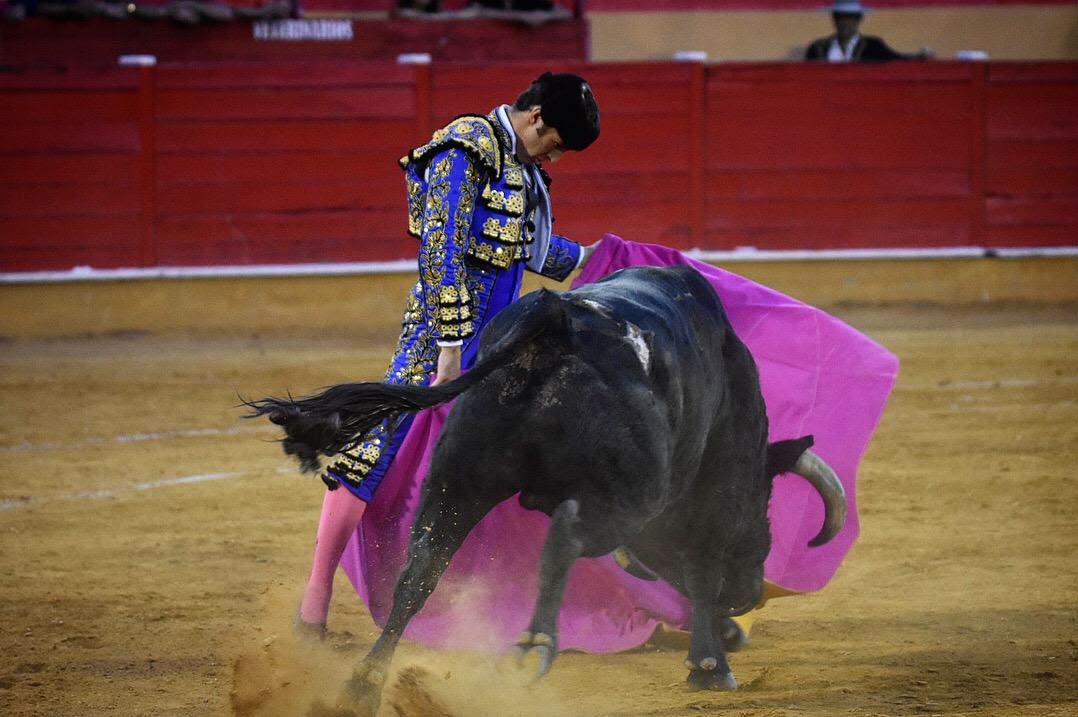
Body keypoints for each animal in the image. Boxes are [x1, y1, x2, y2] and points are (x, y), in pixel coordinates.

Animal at [247, 264, 845, 711]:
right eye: (763, 510)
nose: (749, 595)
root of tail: (553, 322)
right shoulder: (706, 495)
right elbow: (699, 567)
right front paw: (710, 665)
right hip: (628, 498)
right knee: (568, 535)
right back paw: (534, 644)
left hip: (456, 482)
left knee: (419, 572)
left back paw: (362, 686)